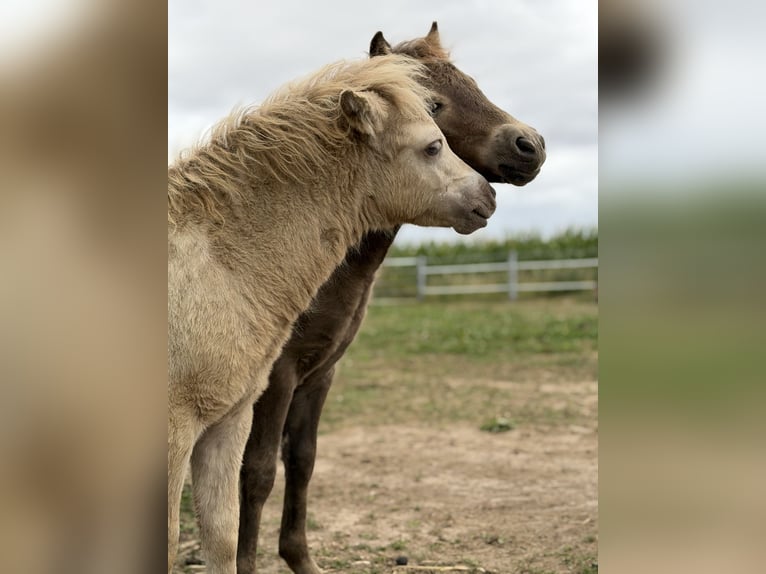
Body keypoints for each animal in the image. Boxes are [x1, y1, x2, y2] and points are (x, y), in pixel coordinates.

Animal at [167, 53, 496, 574]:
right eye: (432, 146)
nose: (488, 197)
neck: (218, 264)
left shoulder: (227, 422)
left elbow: (221, 538)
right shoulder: (176, 431)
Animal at [236, 23, 545, 574]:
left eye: (475, 83)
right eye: (431, 104)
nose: (531, 144)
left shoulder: (320, 372)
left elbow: (302, 460)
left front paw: (301, 559)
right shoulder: (278, 375)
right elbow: (258, 472)